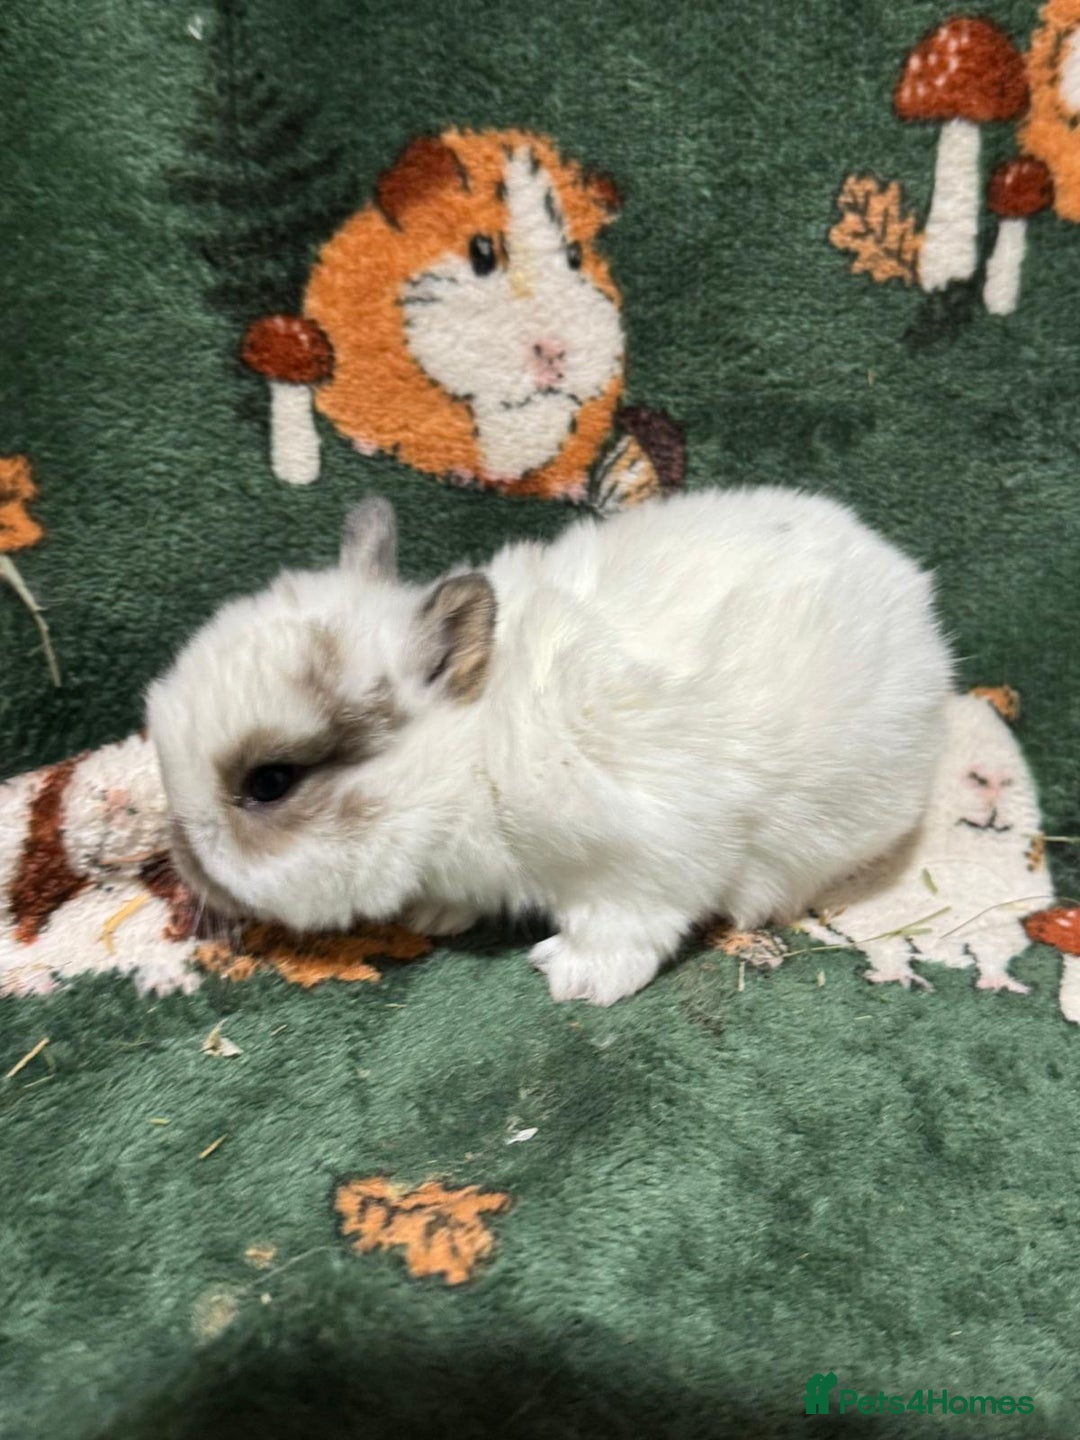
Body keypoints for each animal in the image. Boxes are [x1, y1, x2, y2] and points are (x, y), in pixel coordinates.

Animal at [146, 488, 953, 1006]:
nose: (182, 863)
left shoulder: (642, 864)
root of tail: (909, 586)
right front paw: (434, 918)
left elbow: (622, 928)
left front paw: (574, 980)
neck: (474, 755)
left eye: (271, 781)